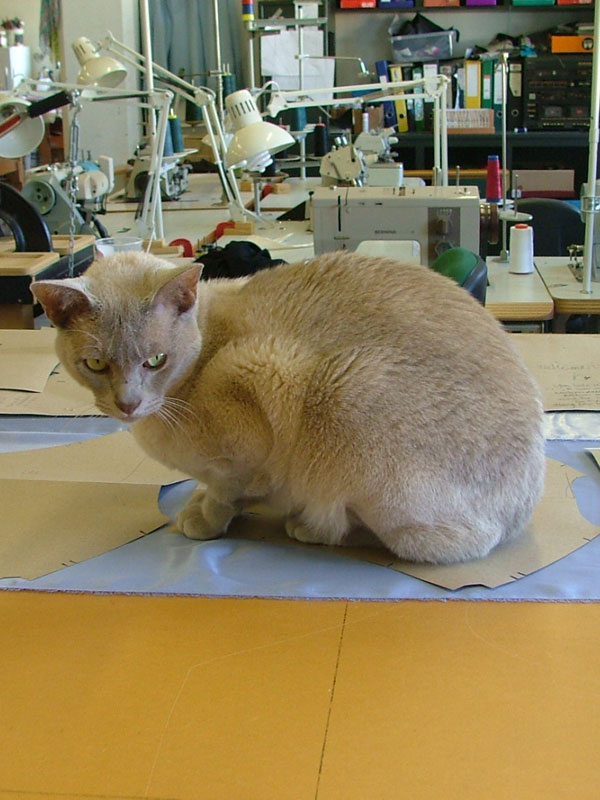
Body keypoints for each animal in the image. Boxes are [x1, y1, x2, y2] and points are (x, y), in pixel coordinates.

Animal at [32, 250, 548, 564]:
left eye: (155, 361)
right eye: (96, 364)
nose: (128, 403)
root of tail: (523, 511)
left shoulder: (259, 382)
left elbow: (227, 492)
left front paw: (203, 520)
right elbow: (217, 490)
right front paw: (198, 503)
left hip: (345, 395)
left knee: (417, 536)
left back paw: (307, 526)